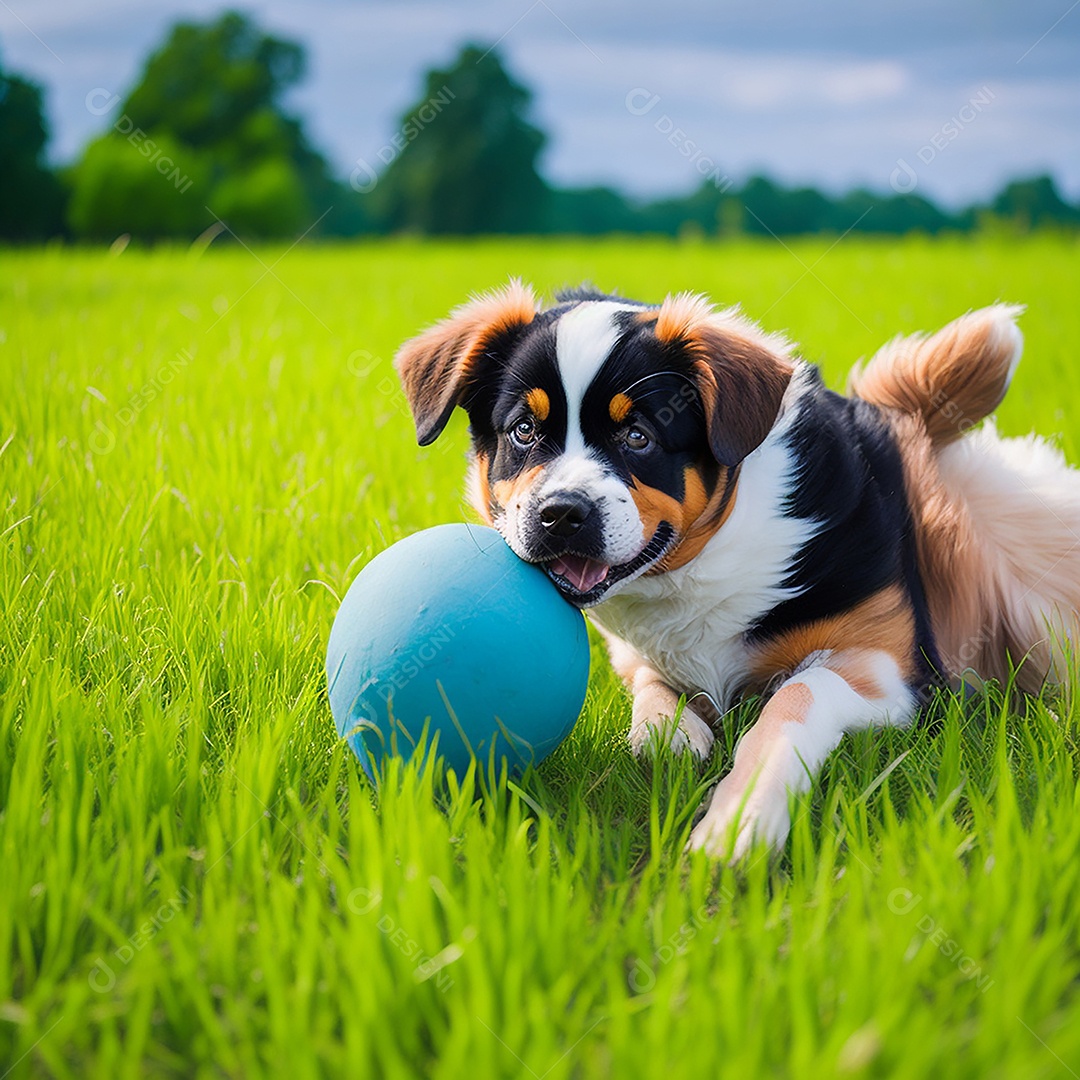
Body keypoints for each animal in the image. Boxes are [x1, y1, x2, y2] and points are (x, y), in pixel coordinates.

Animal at [393, 285, 1080, 859]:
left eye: (638, 436)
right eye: (524, 430)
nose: (561, 514)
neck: (700, 561)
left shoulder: (889, 670)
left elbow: (797, 697)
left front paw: (740, 821)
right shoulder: (637, 654)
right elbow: (653, 697)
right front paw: (672, 736)